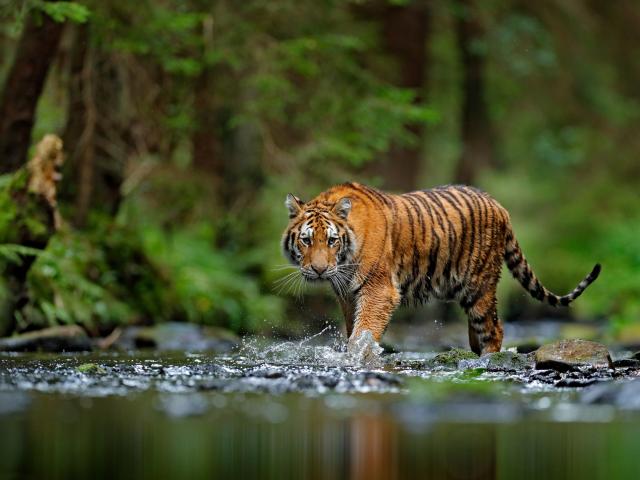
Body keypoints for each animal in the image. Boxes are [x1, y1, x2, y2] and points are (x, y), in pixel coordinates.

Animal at [281, 182, 601, 355]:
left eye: (332, 240)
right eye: (306, 240)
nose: (319, 270)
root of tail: (499, 206)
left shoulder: (379, 290)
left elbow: (364, 332)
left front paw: (357, 357)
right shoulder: (347, 294)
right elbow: (353, 330)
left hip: (479, 286)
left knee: (494, 328)